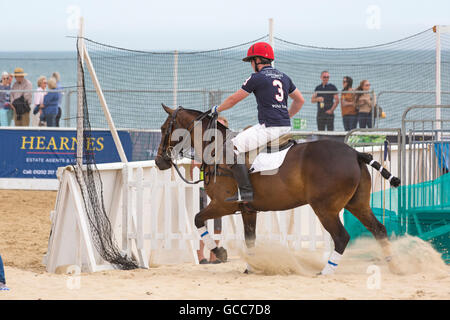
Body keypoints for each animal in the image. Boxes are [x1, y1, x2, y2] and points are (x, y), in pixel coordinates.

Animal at [156, 105, 402, 276]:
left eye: (164, 128)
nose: (160, 161)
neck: (216, 150)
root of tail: (355, 153)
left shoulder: (222, 204)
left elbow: (198, 219)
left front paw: (221, 253)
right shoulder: (248, 210)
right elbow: (250, 238)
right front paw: (252, 267)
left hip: (325, 208)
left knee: (341, 237)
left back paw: (327, 271)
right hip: (357, 204)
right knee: (379, 229)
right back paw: (396, 267)